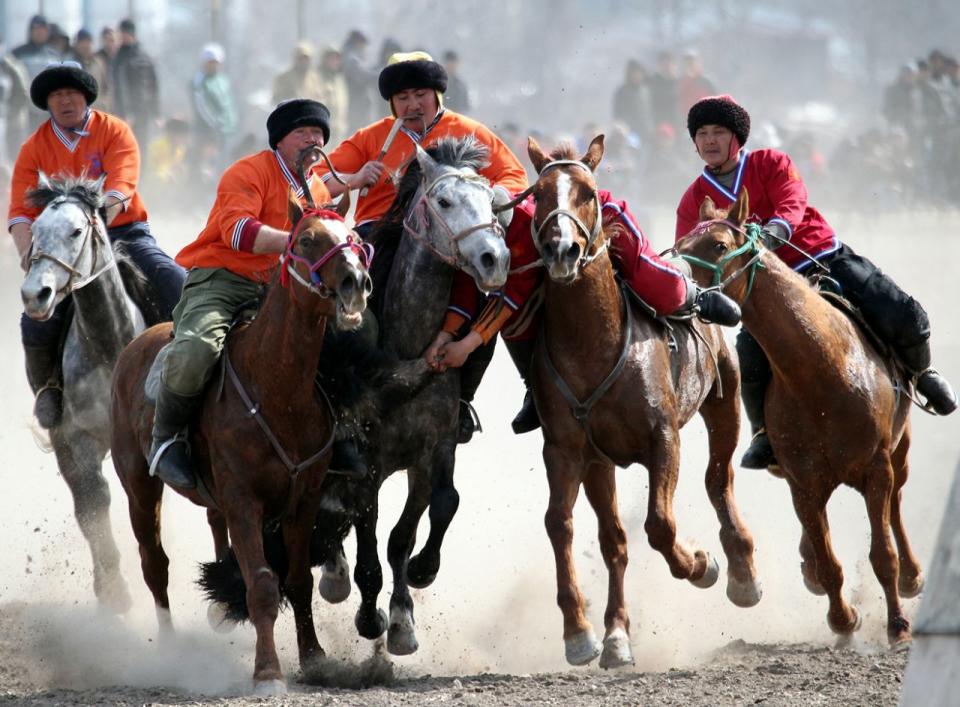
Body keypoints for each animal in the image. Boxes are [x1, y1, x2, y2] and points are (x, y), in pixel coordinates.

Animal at [109, 194, 372, 692]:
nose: (356, 281)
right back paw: (170, 649)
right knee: (155, 565)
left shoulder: (303, 500)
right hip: (139, 487)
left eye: (353, 237)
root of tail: (136, 345)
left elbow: (297, 580)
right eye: (306, 240)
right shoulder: (244, 501)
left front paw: (314, 657)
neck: (274, 386)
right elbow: (263, 585)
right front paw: (268, 671)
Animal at [528, 137, 760, 668]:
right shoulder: (568, 451)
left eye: (589, 193)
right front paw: (580, 631)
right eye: (539, 193)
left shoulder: (663, 437)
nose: (561, 250)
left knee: (719, 479)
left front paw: (700, 564)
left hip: (725, 402)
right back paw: (616, 632)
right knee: (613, 539)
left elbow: (659, 524)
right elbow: (561, 525)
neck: (594, 344)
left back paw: (742, 571)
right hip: (600, 463)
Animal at [676, 189, 924, 648]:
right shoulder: (802, 484)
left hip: (900, 452)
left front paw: (898, 626)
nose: (683, 288)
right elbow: (829, 564)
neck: (823, 371)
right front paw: (844, 620)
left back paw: (913, 576)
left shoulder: (877, 468)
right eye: (681, 244)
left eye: (718, 244)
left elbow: (883, 554)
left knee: (897, 506)